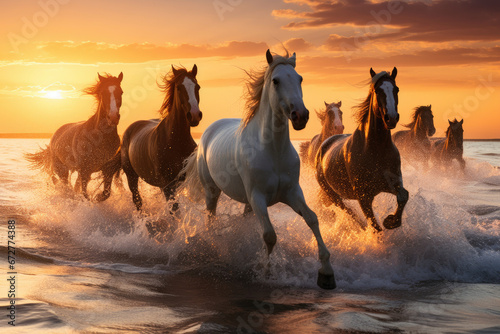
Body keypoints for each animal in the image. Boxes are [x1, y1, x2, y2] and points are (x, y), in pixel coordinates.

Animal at [25, 72, 123, 201]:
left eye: (121, 92)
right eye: (103, 93)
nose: (113, 117)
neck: (101, 138)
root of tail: (54, 138)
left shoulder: (108, 170)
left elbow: (105, 194)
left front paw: (97, 197)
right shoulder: (85, 171)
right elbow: (85, 195)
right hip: (62, 169)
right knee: (65, 185)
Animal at [118, 65, 202, 210]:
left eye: (198, 87)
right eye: (179, 87)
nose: (195, 115)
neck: (176, 140)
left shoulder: (182, 182)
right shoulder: (167, 185)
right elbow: (174, 210)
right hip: (131, 176)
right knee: (138, 201)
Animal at [184, 49, 336, 290]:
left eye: (300, 78)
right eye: (276, 81)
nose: (300, 115)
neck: (273, 150)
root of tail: (209, 130)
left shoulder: (292, 192)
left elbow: (312, 218)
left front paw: (327, 273)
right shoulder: (258, 196)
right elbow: (270, 235)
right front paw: (266, 271)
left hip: (247, 202)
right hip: (212, 192)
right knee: (211, 219)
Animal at [314, 68, 408, 232]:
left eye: (396, 89)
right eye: (378, 90)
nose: (391, 118)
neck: (376, 149)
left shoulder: (393, 183)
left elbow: (404, 195)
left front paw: (391, 221)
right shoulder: (364, 197)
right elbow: (375, 227)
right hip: (331, 193)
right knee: (348, 210)